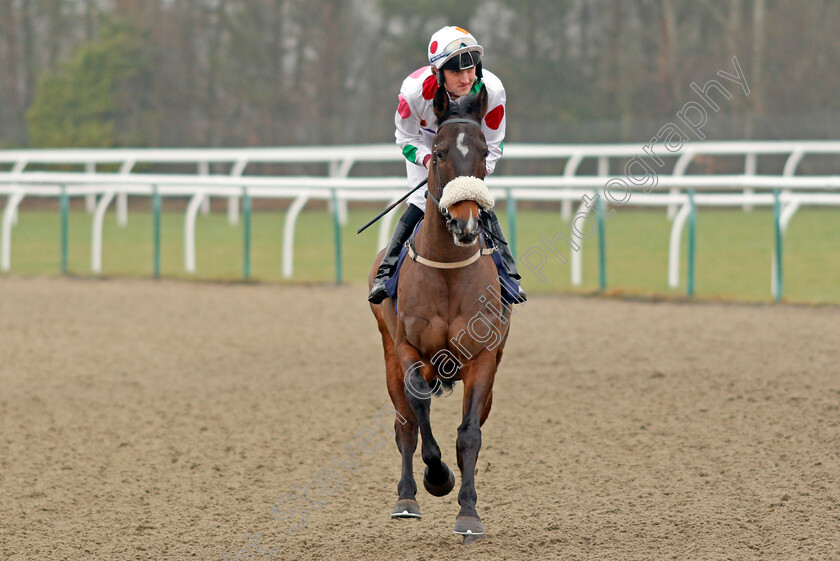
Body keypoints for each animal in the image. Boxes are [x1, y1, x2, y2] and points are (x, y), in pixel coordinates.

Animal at [368, 83, 512, 544]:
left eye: (483, 151)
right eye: (441, 152)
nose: (467, 225)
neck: (448, 271)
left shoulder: (484, 359)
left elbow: (469, 435)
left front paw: (468, 512)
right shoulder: (408, 351)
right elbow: (418, 415)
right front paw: (437, 478)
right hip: (388, 357)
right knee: (406, 425)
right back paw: (407, 497)